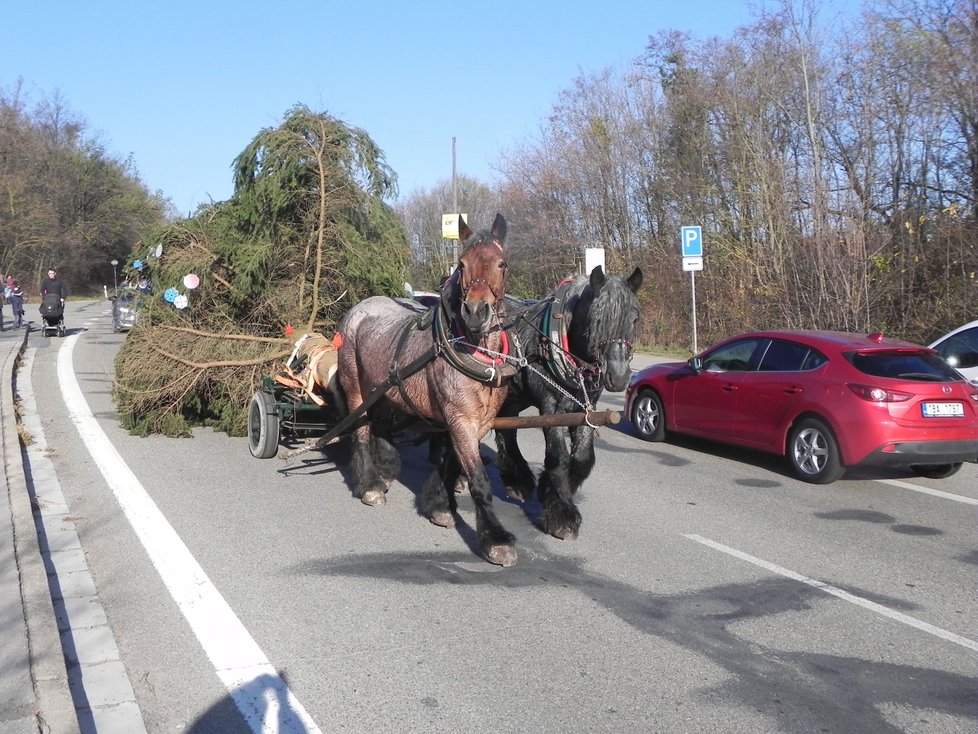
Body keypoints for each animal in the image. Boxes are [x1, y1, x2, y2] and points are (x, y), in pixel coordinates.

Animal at [336, 216, 524, 568]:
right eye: (461, 264)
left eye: (502, 263)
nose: (476, 312)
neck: (476, 351)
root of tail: (360, 308)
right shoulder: (460, 418)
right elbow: (479, 480)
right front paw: (495, 539)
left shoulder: (477, 422)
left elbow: (452, 463)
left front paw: (439, 505)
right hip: (356, 387)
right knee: (362, 431)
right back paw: (370, 484)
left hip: (386, 389)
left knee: (381, 425)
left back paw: (385, 469)